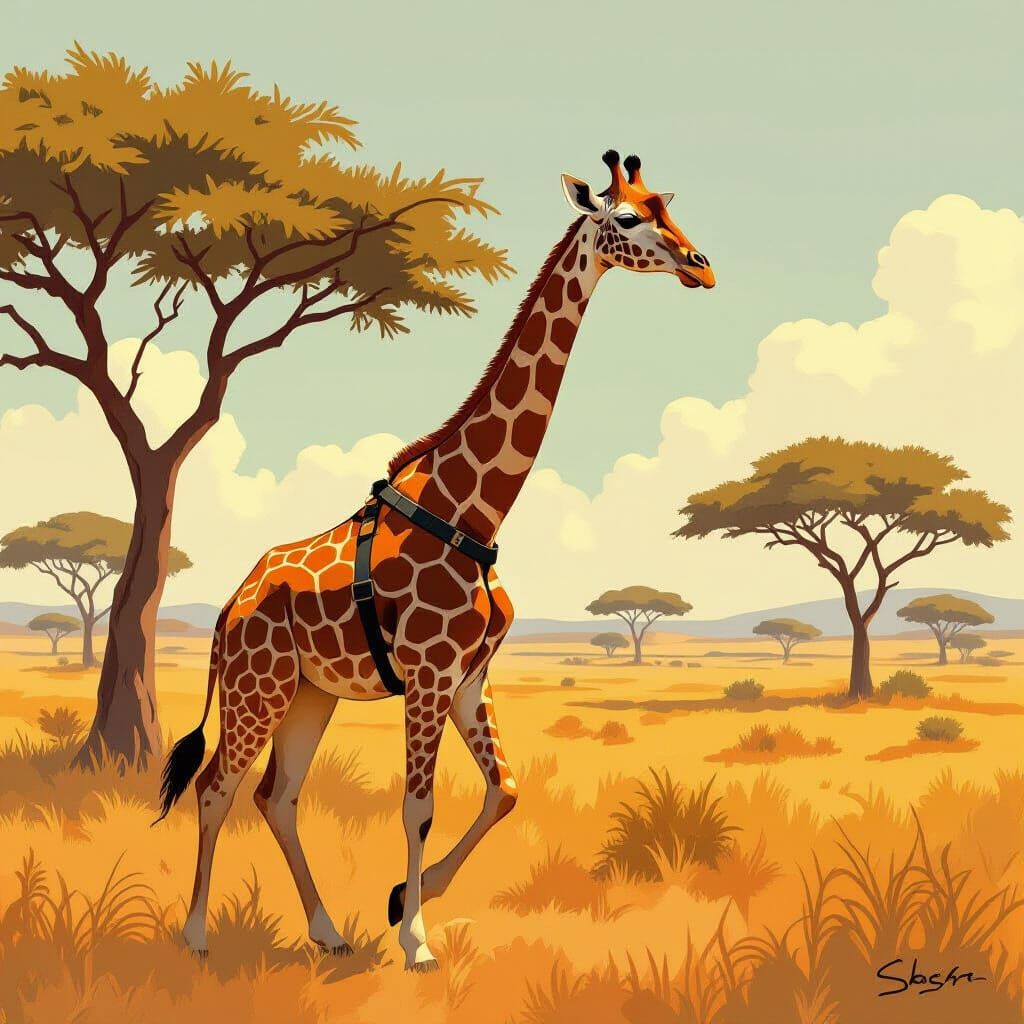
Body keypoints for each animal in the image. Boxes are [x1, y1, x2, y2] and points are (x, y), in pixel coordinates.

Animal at [156, 150, 715, 971]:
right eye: (627, 217)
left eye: (667, 206)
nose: (701, 266)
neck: (472, 505)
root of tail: (229, 607)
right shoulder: (426, 673)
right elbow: (417, 806)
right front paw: (416, 941)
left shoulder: (468, 675)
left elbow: (505, 790)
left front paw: (399, 903)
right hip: (258, 688)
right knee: (215, 787)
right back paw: (196, 936)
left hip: (311, 694)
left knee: (276, 796)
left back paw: (328, 932)